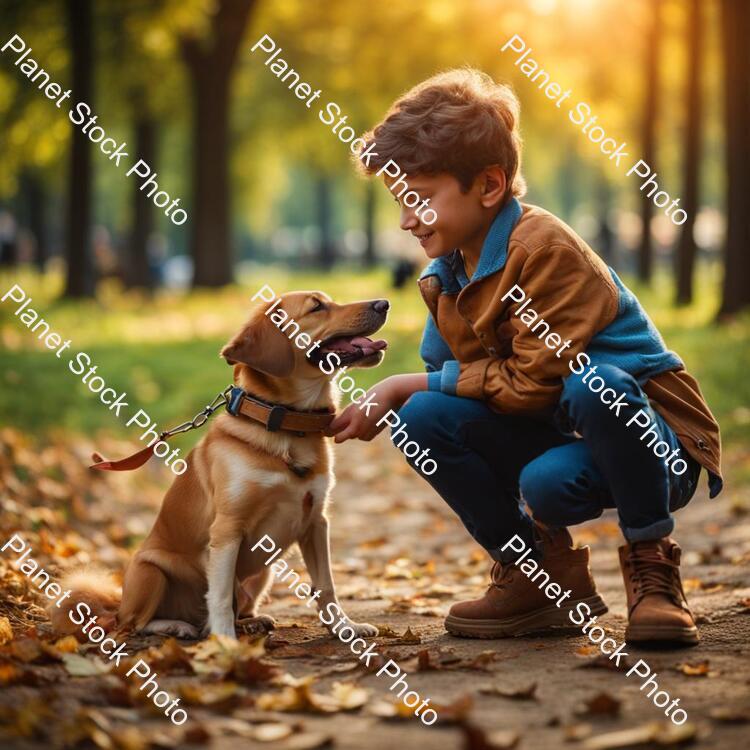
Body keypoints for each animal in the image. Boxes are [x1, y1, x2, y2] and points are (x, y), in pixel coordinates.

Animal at [52, 290, 390, 644]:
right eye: (317, 307)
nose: (384, 304)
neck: (285, 427)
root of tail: (116, 604)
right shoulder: (228, 529)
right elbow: (220, 595)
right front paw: (225, 643)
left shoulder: (315, 522)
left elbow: (326, 585)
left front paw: (345, 628)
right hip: (150, 571)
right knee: (134, 623)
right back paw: (178, 626)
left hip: (264, 573)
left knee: (238, 606)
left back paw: (250, 623)